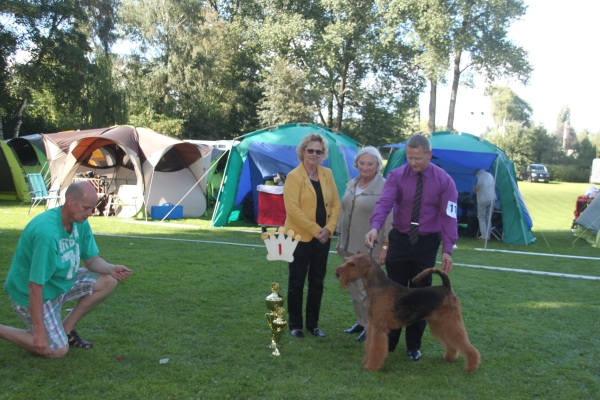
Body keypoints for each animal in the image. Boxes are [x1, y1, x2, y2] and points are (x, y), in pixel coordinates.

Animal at [334, 253, 480, 372]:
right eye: (347, 260)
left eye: (352, 264)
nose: (337, 273)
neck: (379, 288)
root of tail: (446, 287)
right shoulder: (372, 325)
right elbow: (369, 346)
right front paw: (366, 361)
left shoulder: (379, 328)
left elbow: (375, 348)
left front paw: (371, 367)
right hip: (439, 324)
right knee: (452, 344)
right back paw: (449, 357)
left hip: (451, 322)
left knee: (466, 345)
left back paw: (471, 366)